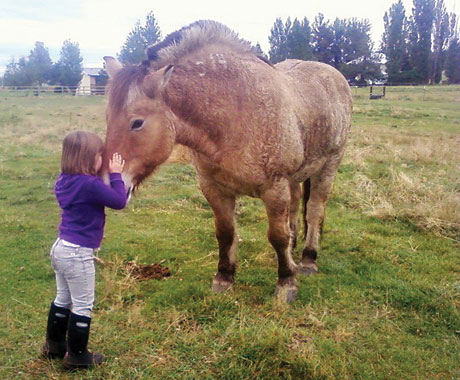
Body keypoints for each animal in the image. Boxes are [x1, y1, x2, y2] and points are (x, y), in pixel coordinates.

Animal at [101, 20, 352, 302]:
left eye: (137, 122)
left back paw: (308, 260)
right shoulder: (214, 189)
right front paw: (224, 277)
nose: (109, 185)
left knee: (315, 210)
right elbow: (226, 233)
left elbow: (277, 236)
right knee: (297, 206)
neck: (235, 112)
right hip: (296, 177)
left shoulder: (274, 189)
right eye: (108, 118)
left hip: (328, 167)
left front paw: (286, 282)